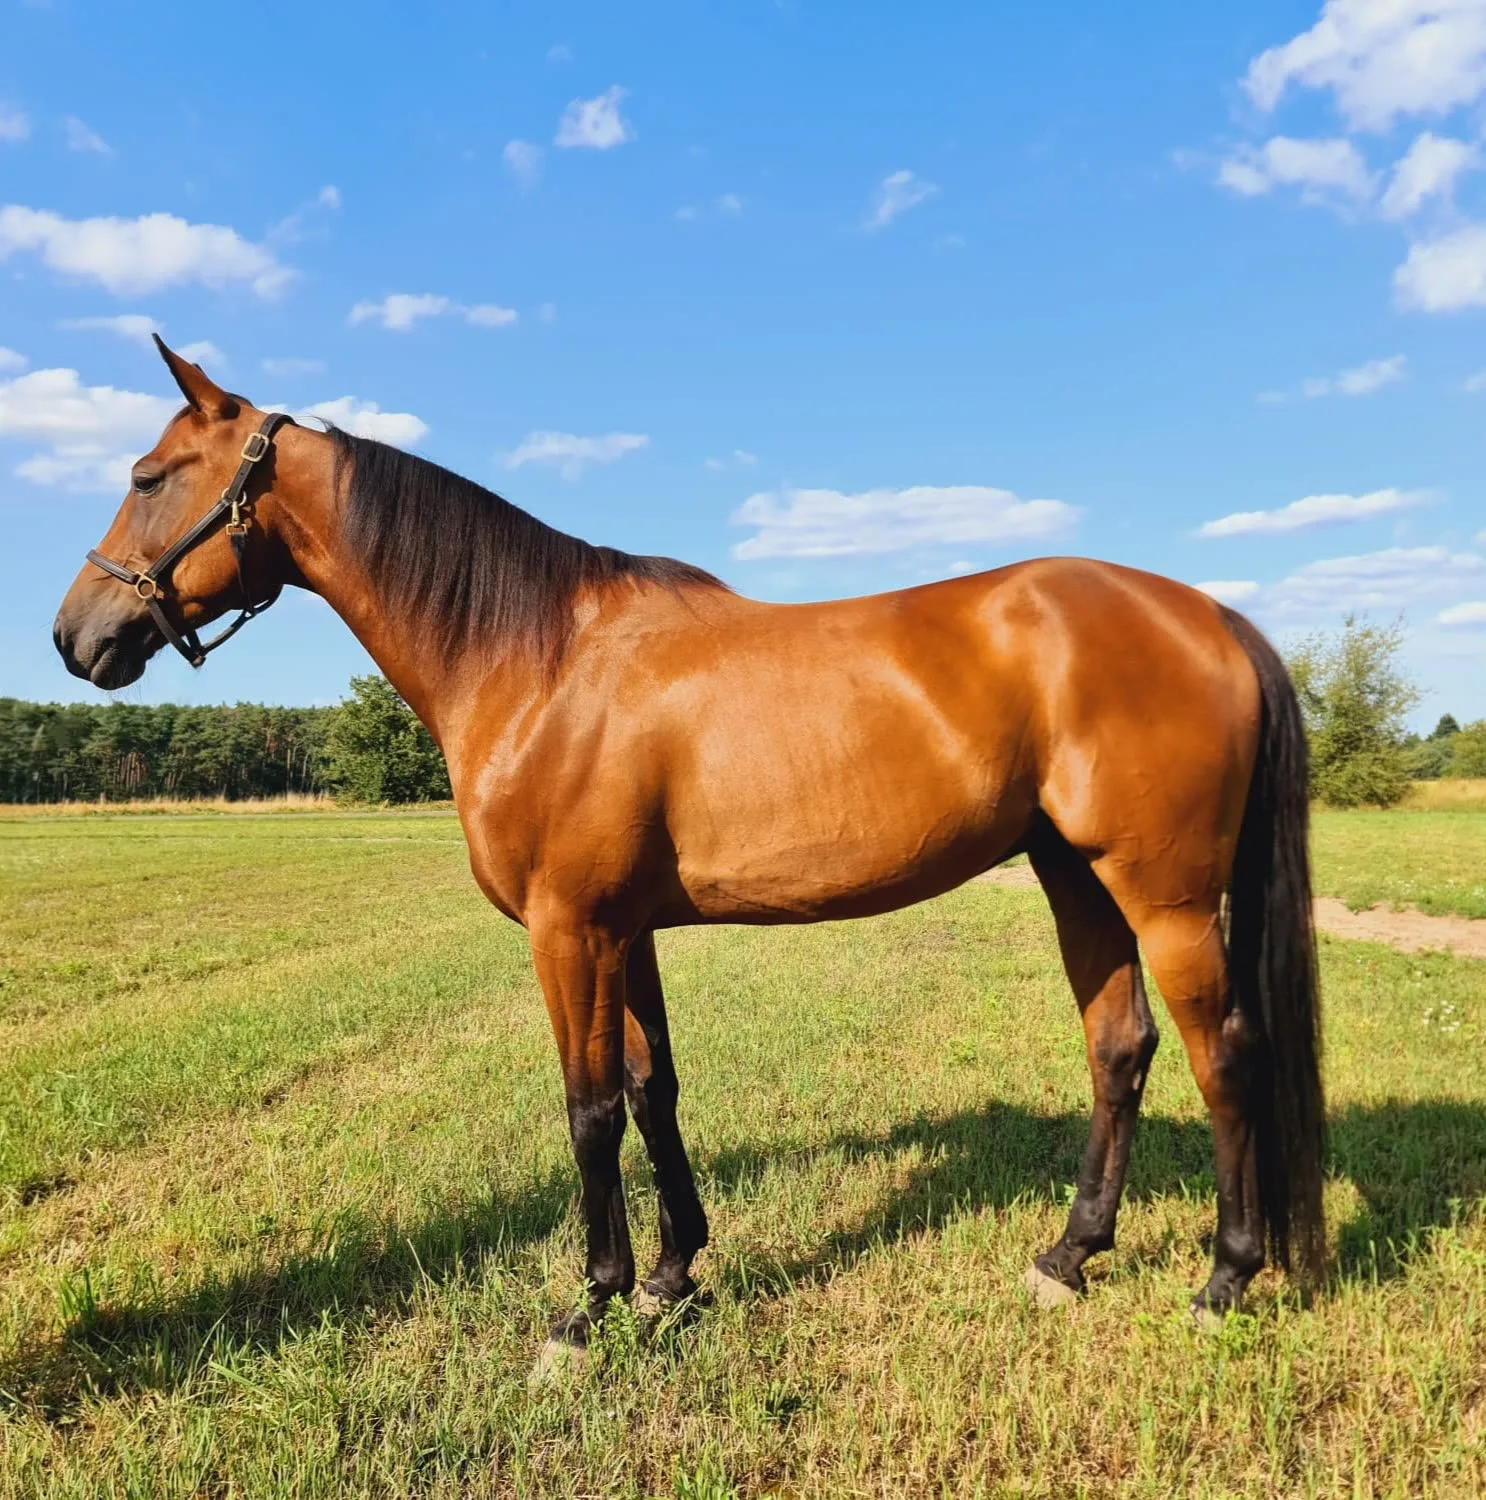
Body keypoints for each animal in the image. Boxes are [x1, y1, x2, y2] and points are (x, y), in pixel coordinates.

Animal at [54, 339, 1325, 1373]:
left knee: (1224, 1054)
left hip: (1163, 894)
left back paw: (1223, 1278)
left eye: (149, 477)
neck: (540, 658)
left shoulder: (570, 929)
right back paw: (1067, 1257)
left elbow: (587, 1111)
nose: (74, 637)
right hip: (1075, 877)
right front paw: (671, 1279)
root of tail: (1213, 617)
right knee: (1119, 1048)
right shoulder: (628, 930)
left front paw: (587, 1310)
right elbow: (651, 1088)